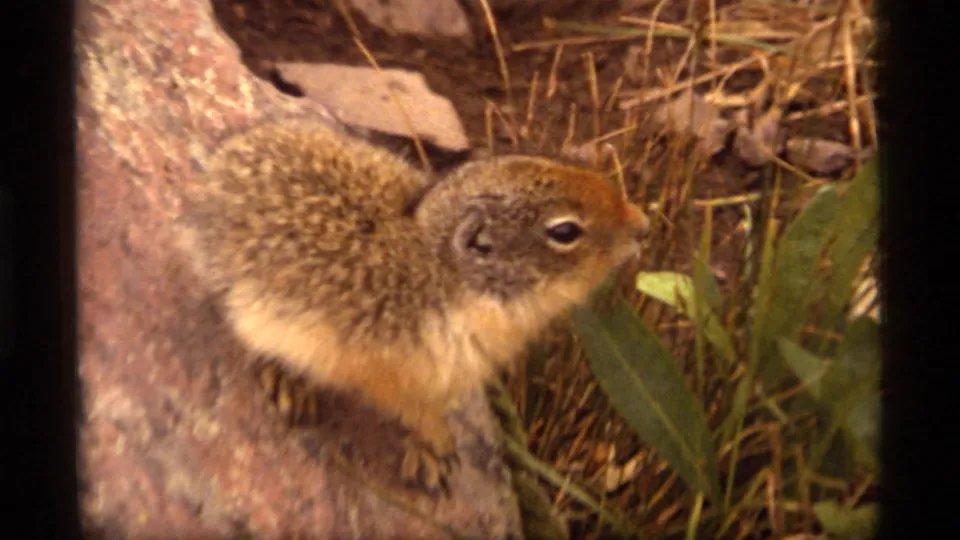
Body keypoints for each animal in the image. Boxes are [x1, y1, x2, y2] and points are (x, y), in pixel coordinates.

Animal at [178, 119, 650, 495]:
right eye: (565, 231)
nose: (643, 226)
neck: (446, 277)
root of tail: (222, 162)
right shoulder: (394, 376)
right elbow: (417, 415)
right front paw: (434, 453)